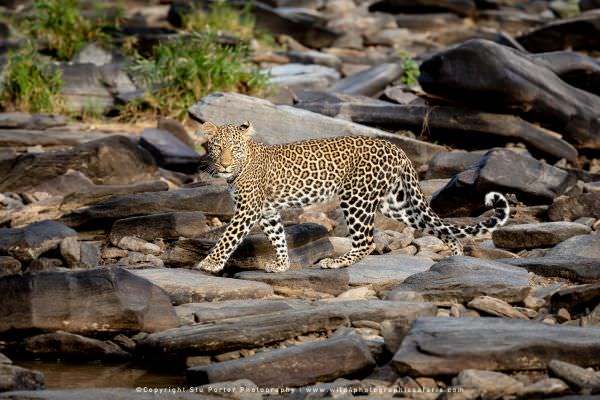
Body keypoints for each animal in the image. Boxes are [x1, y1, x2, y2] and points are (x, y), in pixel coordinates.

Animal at [195, 120, 508, 274]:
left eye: (234, 149)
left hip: (356, 197)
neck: (244, 164)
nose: (224, 165)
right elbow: (278, 237)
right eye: (217, 147)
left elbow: (228, 237)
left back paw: (336, 262)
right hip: (394, 203)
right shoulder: (268, 211)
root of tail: (397, 148)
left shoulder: (247, 209)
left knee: (367, 241)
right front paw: (282, 264)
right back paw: (455, 255)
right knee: (434, 224)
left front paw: (209, 263)